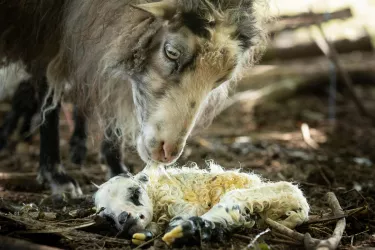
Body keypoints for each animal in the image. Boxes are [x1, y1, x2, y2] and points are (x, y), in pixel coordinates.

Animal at [0, 0, 270, 197]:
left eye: (220, 79)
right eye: (171, 53)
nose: (168, 152)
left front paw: (116, 166)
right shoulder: (44, 26)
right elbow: (49, 92)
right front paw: (55, 175)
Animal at [93, 162, 308, 246]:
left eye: (135, 193)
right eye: (108, 218)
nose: (125, 219)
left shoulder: (178, 200)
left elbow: (185, 211)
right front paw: (144, 235)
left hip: (279, 192)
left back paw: (189, 229)